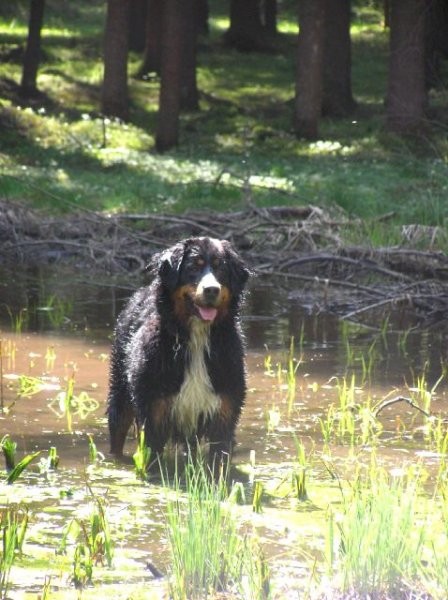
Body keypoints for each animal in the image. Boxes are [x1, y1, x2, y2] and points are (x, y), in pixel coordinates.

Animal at [107, 236, 250, 474]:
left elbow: (218, 462)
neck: (197, 339)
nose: (211, 289)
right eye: (193, 267)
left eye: (220, 268)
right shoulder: (154, 413)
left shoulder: (225, 413)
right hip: (120, 396)